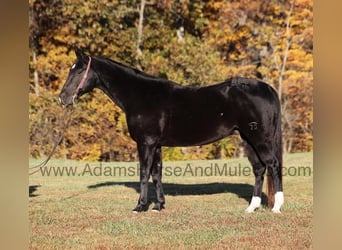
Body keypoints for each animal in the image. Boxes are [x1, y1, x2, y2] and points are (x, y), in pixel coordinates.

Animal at [59, 48, 284, 213]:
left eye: (78, 71)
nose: (63, 98)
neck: (141, 95)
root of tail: (267, 88)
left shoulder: (146, 143)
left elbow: (144, 173)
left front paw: (140, 206)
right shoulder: (156, 144)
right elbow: (156, 174)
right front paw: (159, 206)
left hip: (259, 139)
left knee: (273, 165)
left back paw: (277, 207)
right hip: (248, 139)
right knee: (259, 169)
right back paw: (251, 208)